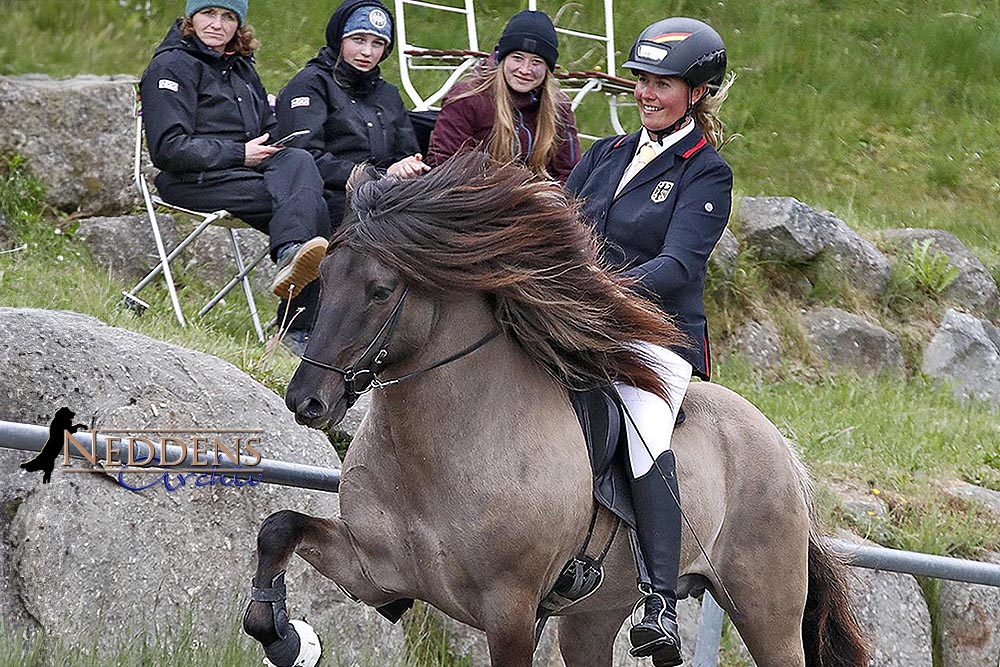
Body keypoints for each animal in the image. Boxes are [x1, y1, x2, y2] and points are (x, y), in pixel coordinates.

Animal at [242, 154, 868, 664]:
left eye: (380, 290)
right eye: (323, 277)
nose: (307, 400)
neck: (436, 452)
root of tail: (777, 443)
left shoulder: (511, 612)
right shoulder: (375, 570)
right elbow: (277, 529)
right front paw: (286, 637)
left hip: (765, 608)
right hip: (594, 617)